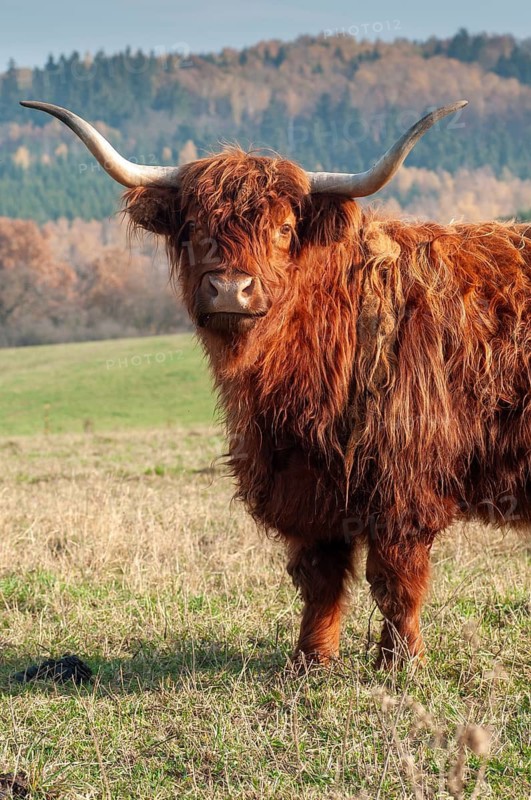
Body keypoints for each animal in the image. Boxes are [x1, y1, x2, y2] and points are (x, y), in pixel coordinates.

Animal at [21, 99, 531, 669]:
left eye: (285, 229)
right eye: (192, 225)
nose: (229, 288)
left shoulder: (404, 480)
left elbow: (396, 580)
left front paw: (399, 662)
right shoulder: (303, 483)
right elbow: (320, 579)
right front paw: (310, 660)